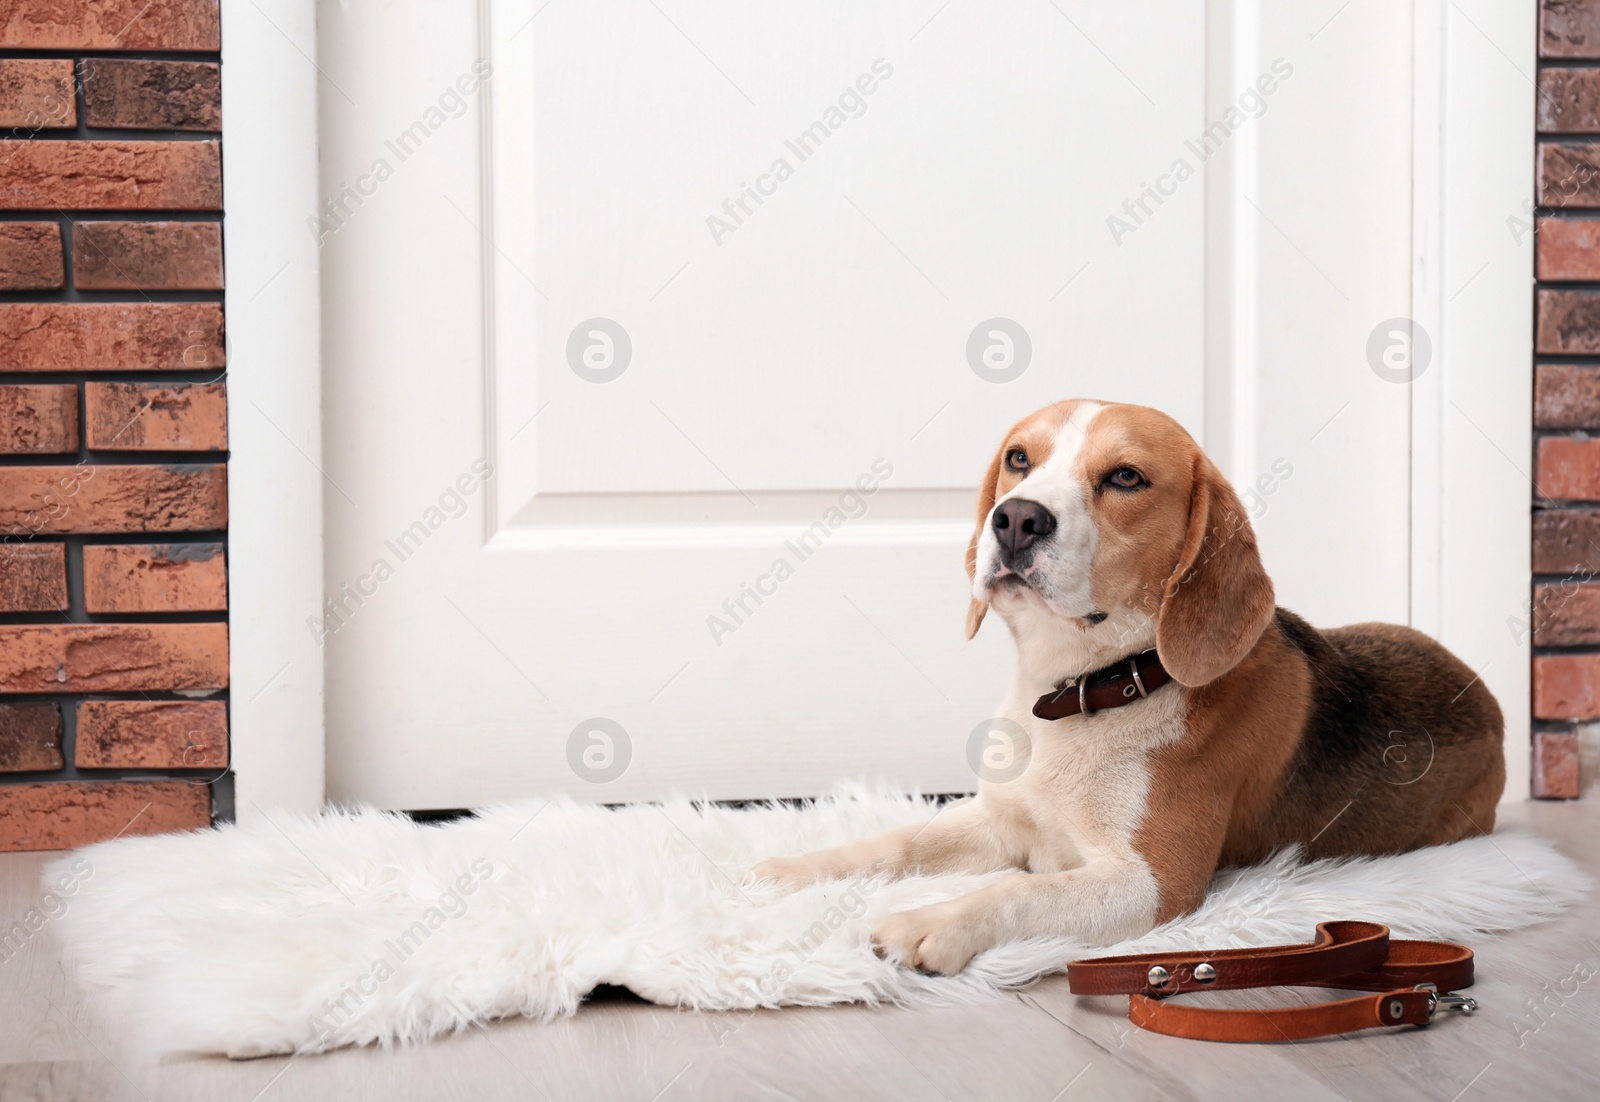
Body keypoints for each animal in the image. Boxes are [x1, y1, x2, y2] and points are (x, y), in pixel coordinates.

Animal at [748, 398, 1497, 972]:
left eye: (1126, 476)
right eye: (1019, 459)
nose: (1015, 518)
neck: (1078, 692)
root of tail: (1487, 697)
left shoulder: (1152, 884)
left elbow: (1018, 893)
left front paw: (929, 921)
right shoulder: (999, 820)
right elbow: (896, 842)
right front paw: (789, 870)